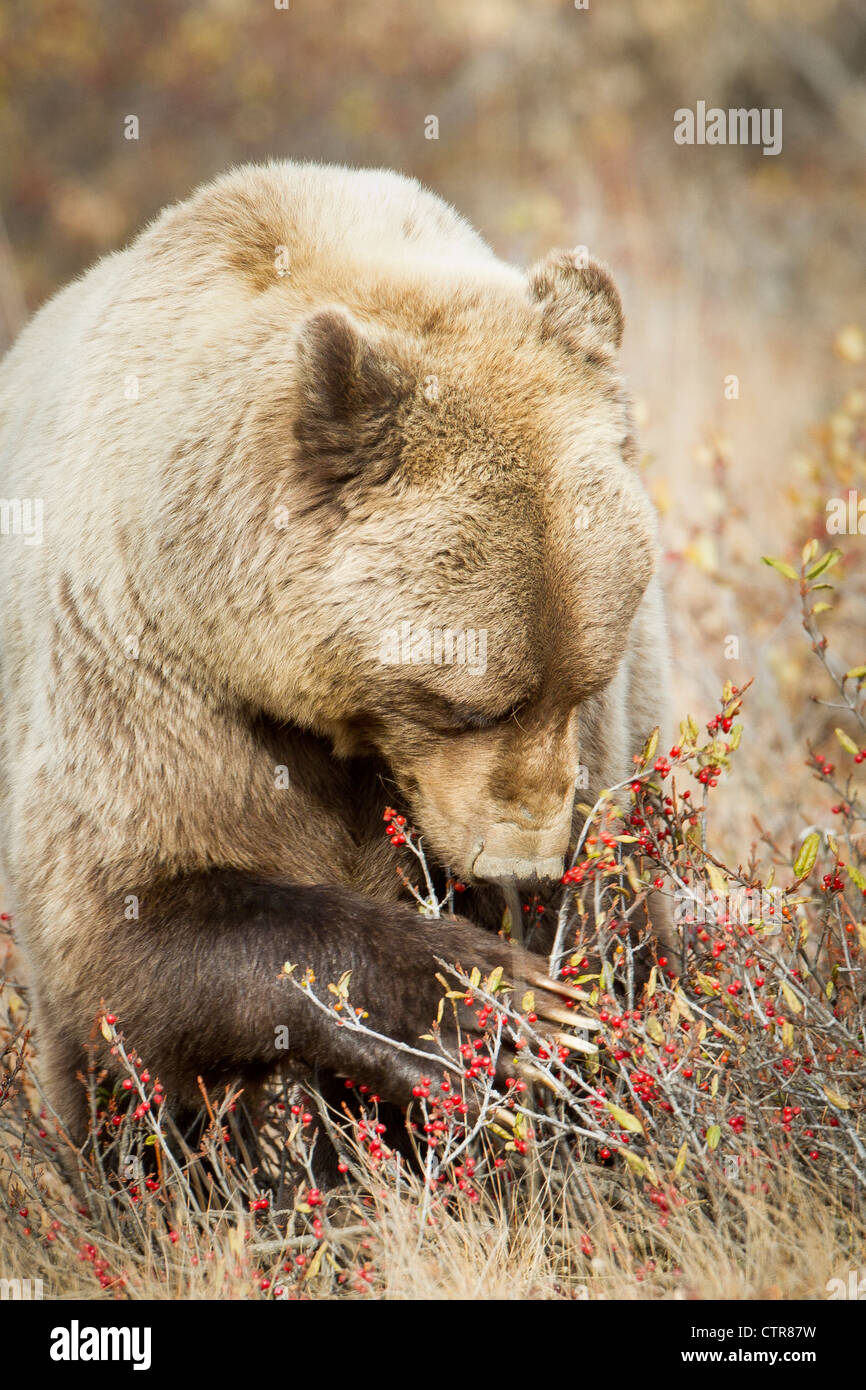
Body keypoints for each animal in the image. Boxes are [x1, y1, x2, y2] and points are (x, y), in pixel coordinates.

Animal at [0, 161, 673, 1149]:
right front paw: (498, 1008)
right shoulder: (146, 672)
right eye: (467, 702)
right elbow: (124, 925)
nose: (522, 865)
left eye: (578, 684)